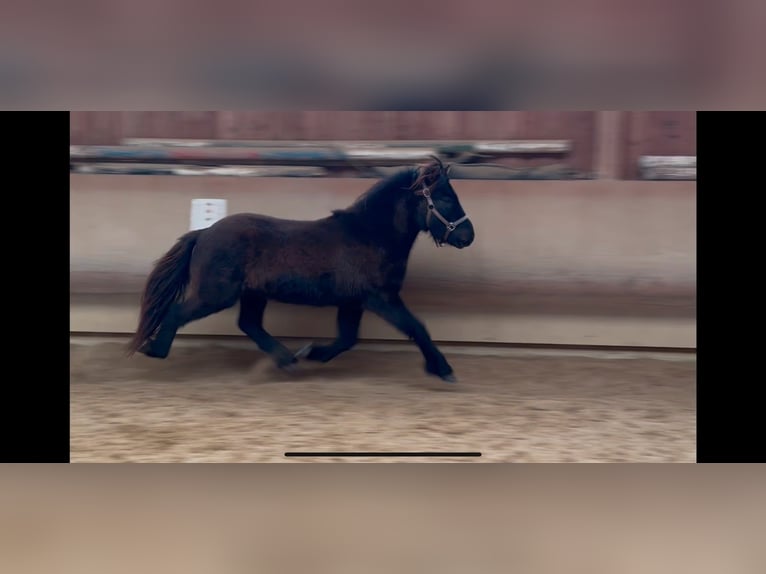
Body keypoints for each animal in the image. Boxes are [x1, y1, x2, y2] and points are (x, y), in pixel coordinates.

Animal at [126, 156, 475, 382]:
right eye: (445, 198)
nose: (467, 236)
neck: (370, 234)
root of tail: (204, 233)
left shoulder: (354, 301)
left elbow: (346, 339)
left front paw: (312, 353)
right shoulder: (381, 298)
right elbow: (417, 328)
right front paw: (443, 370)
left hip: (252, 294)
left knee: (249, 324)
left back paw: (289, 360)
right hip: (216, 294)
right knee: (178, 312)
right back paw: (154, 350)